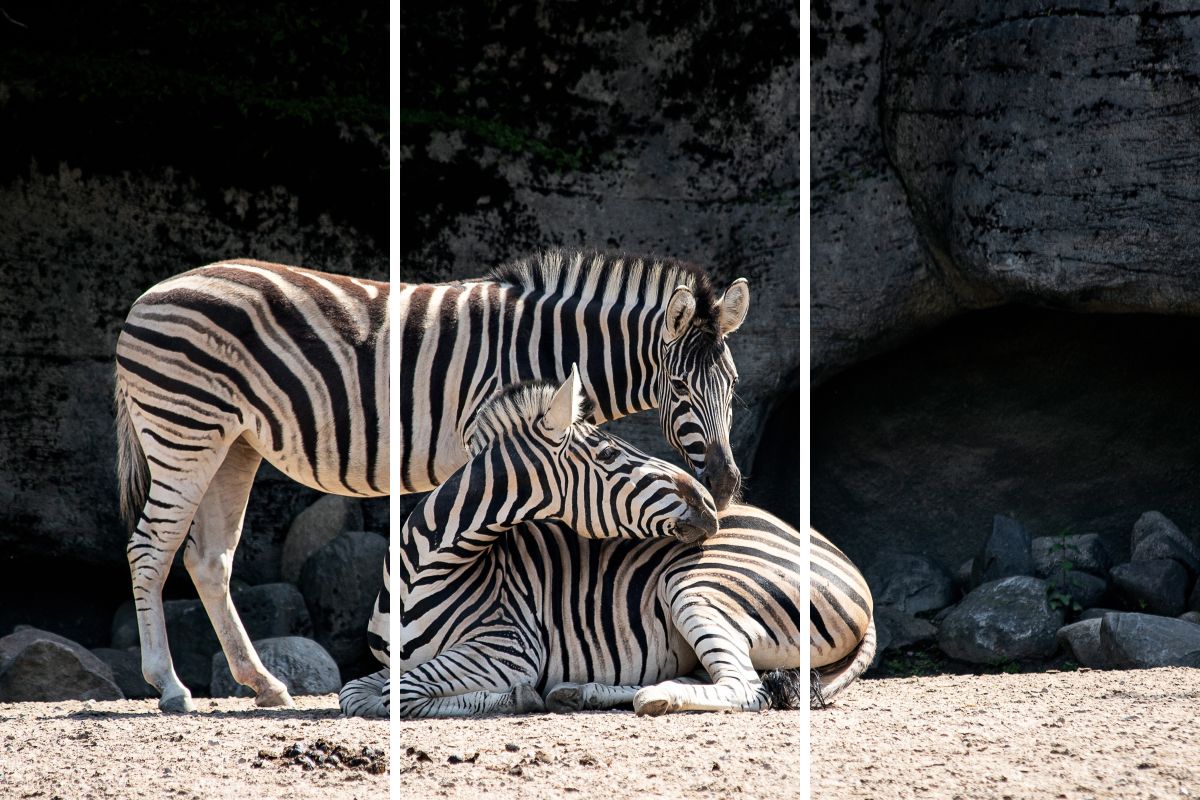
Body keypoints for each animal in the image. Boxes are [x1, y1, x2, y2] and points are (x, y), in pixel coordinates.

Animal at [114, 259, 388, 713]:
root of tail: (146, 298)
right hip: (182, 431)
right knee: (150, 549)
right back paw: (170, 684)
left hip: (228, 445)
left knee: (207, 559)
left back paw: (263, 682)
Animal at [341, 370, 721, 718]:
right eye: (609, 453)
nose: (710, 502)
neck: (422, 572)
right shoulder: (394, 662)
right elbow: (354, 694)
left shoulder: (509, 649)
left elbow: (397, 693)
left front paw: (519, 696)